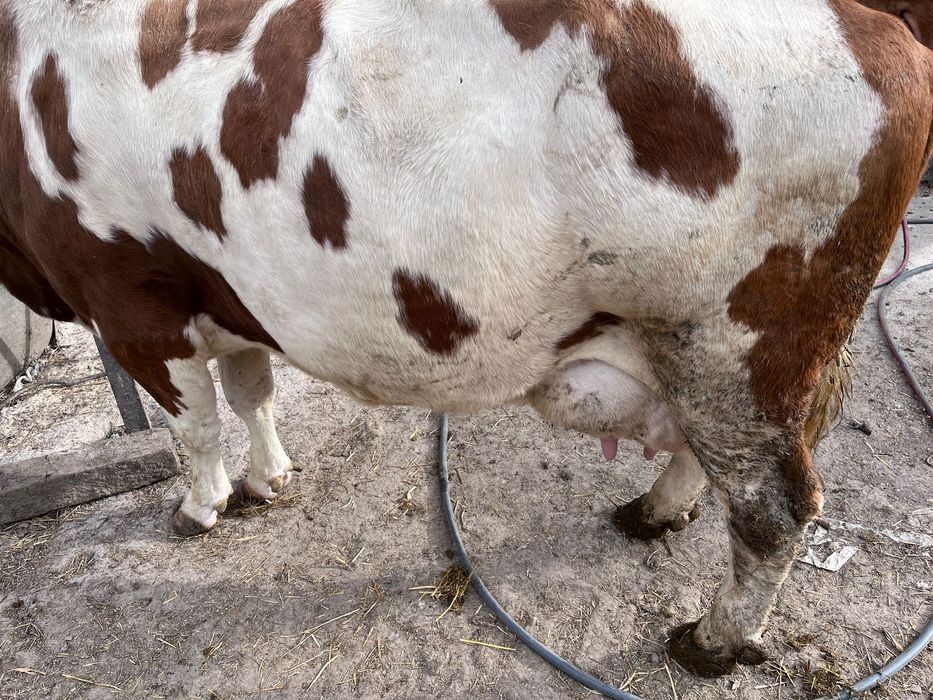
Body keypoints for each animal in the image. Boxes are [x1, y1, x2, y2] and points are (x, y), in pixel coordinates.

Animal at [1, 0, 931, 679]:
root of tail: (878, 29)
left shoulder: (131, 296)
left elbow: (192, 426)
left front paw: (201, 506)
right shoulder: (227, 291)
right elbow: (252, 391)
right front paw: (269, 476)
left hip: (736, 343)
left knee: (774, 507)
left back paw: (710, 641)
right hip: (712, 354)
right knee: (717, 463)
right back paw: (655, 511)